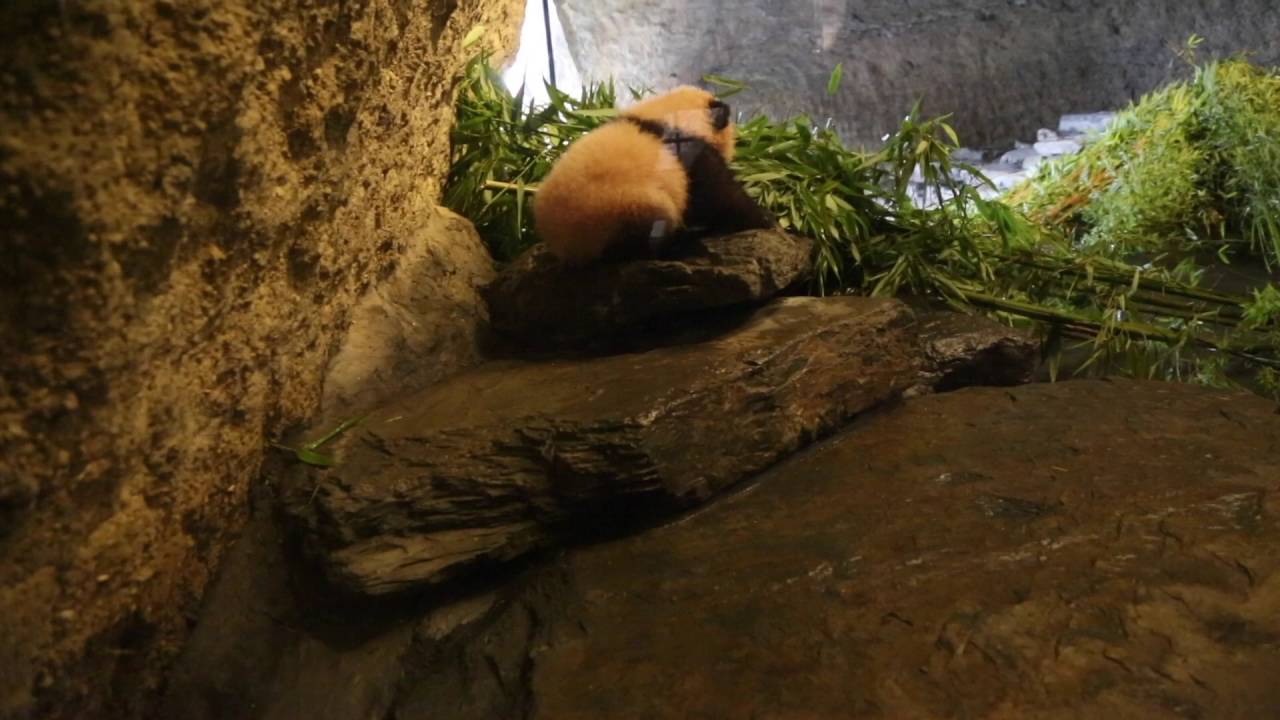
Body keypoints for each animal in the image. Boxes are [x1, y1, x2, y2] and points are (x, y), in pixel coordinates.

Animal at [533, 86, 775, 266]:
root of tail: (567, 246)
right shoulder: (688, 155)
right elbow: (719, 195)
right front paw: (764, 218)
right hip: (625, 204)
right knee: (648, 238)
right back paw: (684, 243)